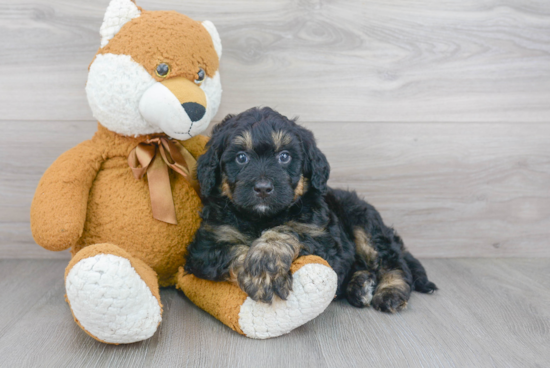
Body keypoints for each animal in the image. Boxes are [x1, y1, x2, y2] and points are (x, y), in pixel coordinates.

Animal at [184, 107, 436, 314]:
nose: (263, 188)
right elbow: (233, 250)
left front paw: (266, 260)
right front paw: (261, 275)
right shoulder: (205, 246)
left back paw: (389, 292)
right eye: (241, 157)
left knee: (394, 262)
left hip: (363, 221)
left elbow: (288, 230)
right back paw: (360, 285)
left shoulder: (323, 238)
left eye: (284, 156)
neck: (261, 218)